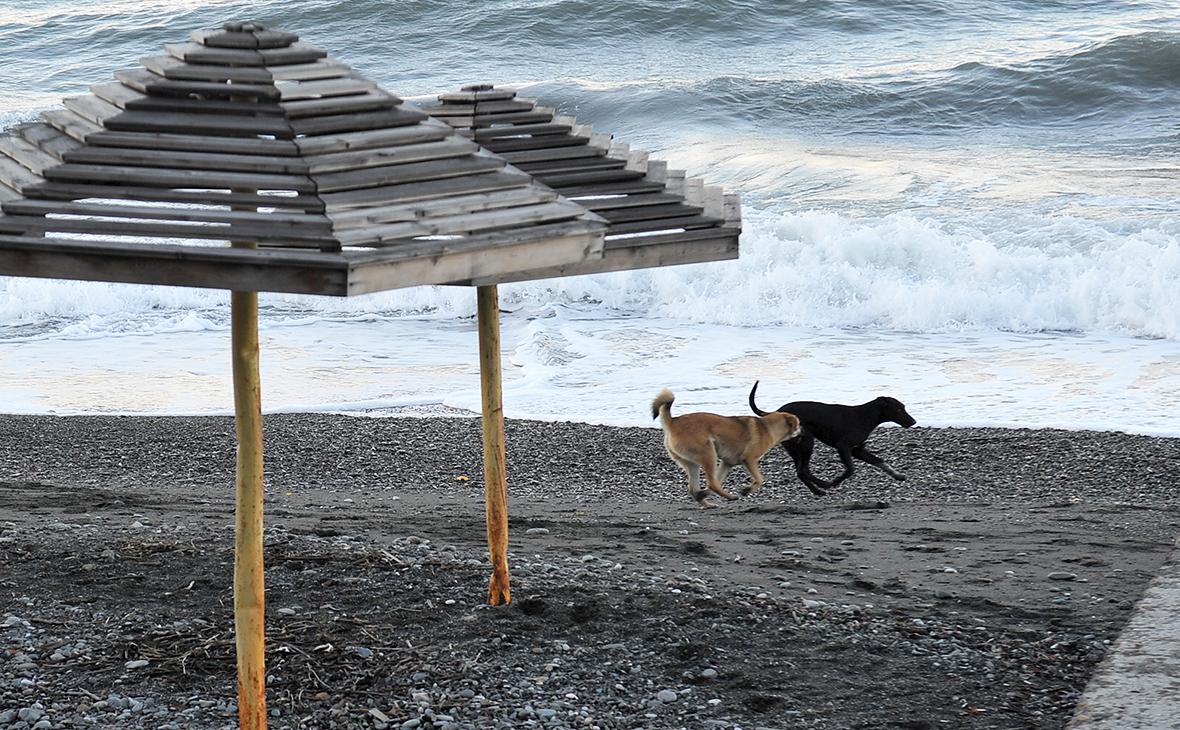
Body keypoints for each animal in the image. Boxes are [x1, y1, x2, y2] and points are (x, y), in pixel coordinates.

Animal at [651, 389, 807, 509]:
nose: (804, 430)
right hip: (708, 454)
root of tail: (672, 422)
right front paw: (747, 490)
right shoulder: (749, 460)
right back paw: (730, 497)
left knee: (698, 487)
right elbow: (760, 479)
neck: (768, 427)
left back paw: (706, 501)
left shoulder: (727, 463)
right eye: (799, 424)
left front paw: (704, 494)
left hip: (692, 463)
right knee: (712, 483)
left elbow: (718, 480)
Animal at [750, 382, 915, 497]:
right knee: (803, 470)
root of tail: (776, 412)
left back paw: (817, 490)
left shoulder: (857, 450)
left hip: (795, 448)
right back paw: (824, 484)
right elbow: (851, 469)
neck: (865, 416)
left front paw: (897, 475)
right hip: (806, 443)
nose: (913, 422)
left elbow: (879, 461)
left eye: (903, 407)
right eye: (899, 409)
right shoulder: (843, 447)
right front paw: (836, 481)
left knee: (801, 472)